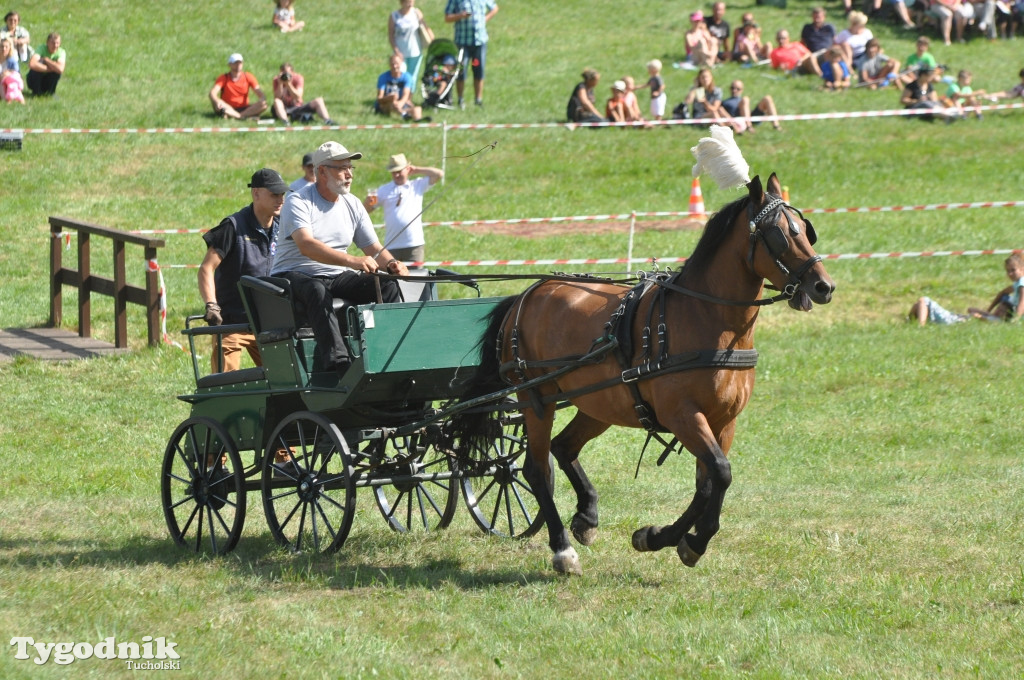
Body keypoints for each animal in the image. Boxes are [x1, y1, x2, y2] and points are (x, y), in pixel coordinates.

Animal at [464, 173, 831, 569]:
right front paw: (677, 538)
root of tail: (528, 294)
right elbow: (720, 473)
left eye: (806, 231)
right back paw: (562, 548)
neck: (710, 319)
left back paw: (587, 517)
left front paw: (670, 539)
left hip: (599, 403)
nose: (824, 286)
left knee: (563, 447)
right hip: (536, 398)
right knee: (535, 468)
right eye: (779, 234)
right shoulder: (683, 415)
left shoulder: (723, 421)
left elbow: (710, 483)